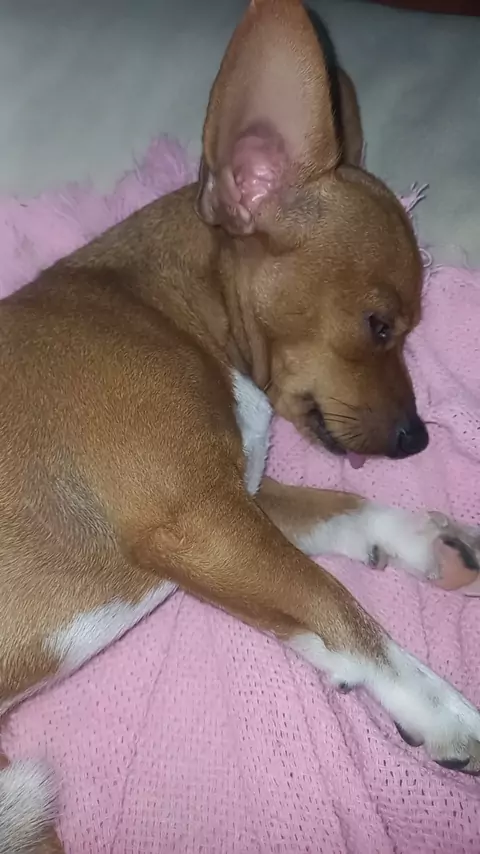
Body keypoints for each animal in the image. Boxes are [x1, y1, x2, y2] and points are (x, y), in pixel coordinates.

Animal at [1, 0, 480, 850]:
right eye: (379, 325)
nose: (417, 440)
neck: (165, 308)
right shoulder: (200, 520)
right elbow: (336, 603)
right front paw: (440, 706)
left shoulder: (239, 500)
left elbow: (343, 512)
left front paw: (428, 542)